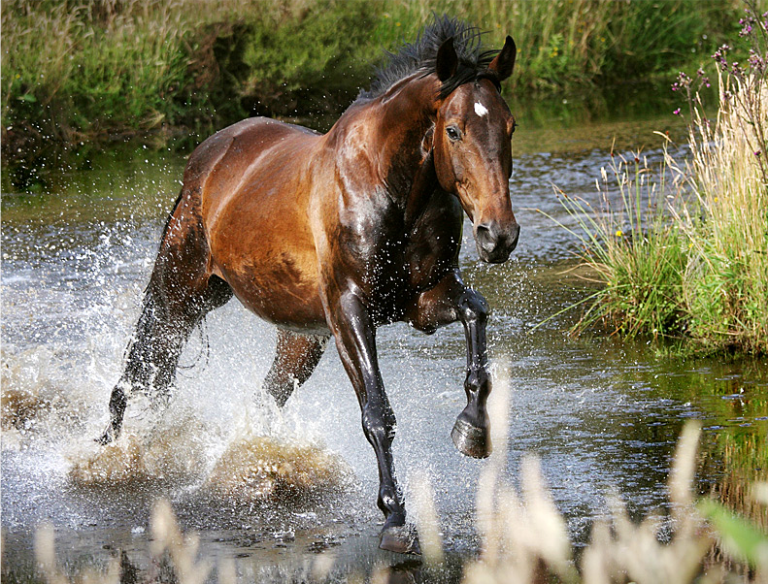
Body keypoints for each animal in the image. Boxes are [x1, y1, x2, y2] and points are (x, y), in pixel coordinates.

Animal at [99, 16, 519, 554]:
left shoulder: (423, 302)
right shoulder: (350, 313)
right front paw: (394, 518)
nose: (498, 235)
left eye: (509, 127)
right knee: (141, 364)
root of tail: (207, 156)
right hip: (181, 291)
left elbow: (477, 315)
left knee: (257, 400)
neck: (392, 187)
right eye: (454, 130)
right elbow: (377, 414)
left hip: (298, 338)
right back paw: (109, 453)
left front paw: (473, 431)